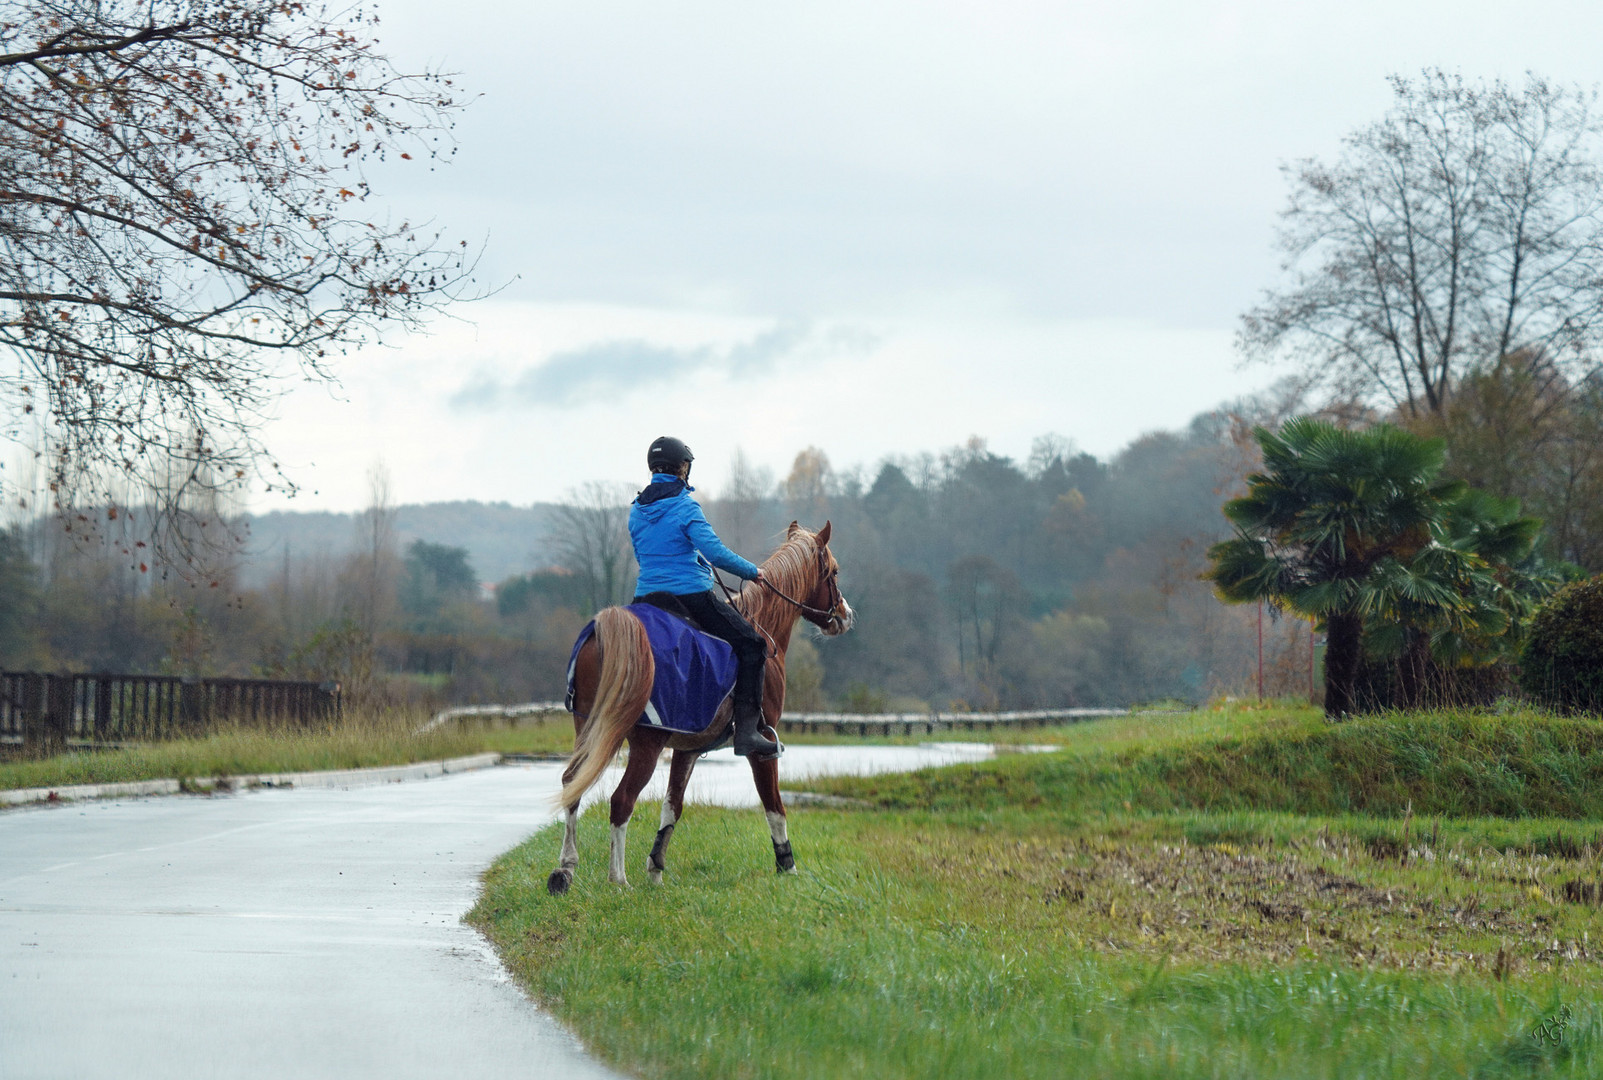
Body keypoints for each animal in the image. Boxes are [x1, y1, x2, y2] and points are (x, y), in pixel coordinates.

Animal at [548, 515, 852, 884]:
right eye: (833, 571)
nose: (846, 615)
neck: (761, 625)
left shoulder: (686, 749)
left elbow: (672, 807)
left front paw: (655, 869)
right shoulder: (761, 746)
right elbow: (774, 806)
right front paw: (787, 866)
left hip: (588, 729)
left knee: (572, 784)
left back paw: (565, 869)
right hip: (646, 744)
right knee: (621, 800)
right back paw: (618, 880)